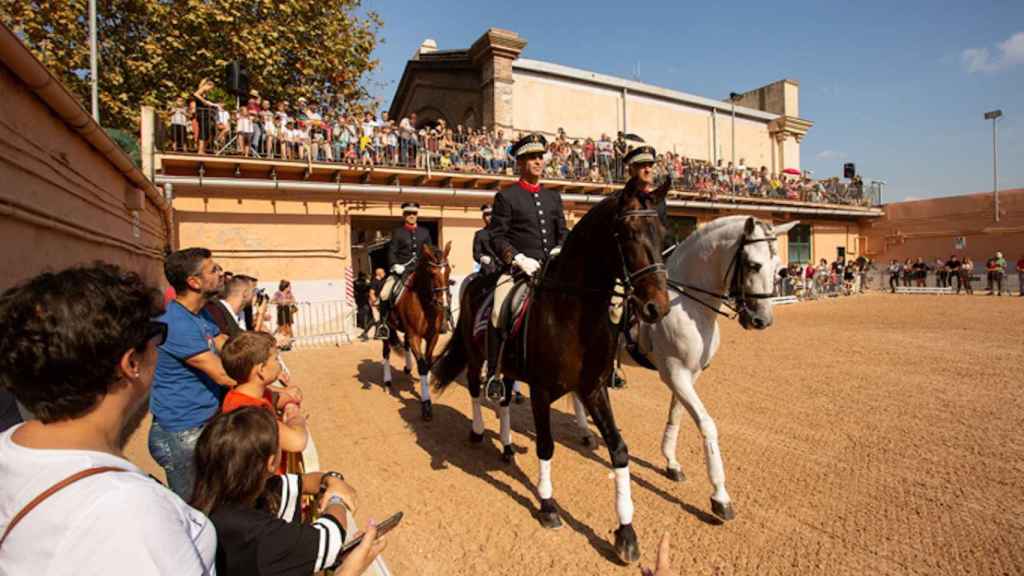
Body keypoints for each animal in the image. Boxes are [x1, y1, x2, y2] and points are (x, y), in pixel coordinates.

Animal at [382, 239, 450, 420]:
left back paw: (407, 367)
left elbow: (427, 362)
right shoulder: (415, 336)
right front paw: (426, 405)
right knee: (386, 352)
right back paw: (387, 381)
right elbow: (422, 366)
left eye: (448, 270)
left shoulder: (432, 336)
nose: (443, 304)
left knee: (405, 344)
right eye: (432, 273)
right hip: (387, 329)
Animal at [432, 178, 671, 561]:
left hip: (506, 368)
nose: (656, 307)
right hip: (474, 355)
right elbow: (545, 446)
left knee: (502, 399)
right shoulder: (542, 391)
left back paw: (507, 447)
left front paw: (626, 532)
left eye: (663, 233)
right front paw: (547, 506)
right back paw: (479, 432)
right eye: (629, 233)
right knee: (474, 389)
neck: (572, 310)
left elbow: (619, 449)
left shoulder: (593, 388)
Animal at [573, 215, 794, 520]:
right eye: (753, 264)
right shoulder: (675, 374)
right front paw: (720, 496)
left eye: (778, 268)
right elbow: (707, 425)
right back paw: (584, 431)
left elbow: (676, 415)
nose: (761, 320)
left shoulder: (689, 375)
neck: (687, 303)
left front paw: (671, 463)